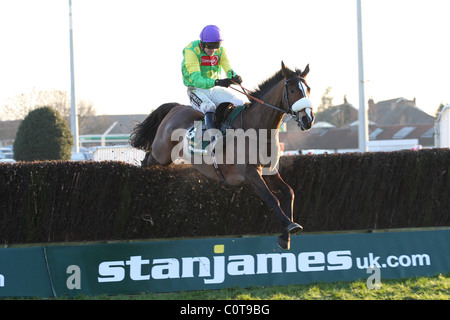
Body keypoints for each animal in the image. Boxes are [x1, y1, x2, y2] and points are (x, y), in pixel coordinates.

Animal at [128, 61, 314, 249]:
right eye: (292, 90)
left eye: (308, 89)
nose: (308, 119)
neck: (257, 129)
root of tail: (176, 108)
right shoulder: (251, 173)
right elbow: (272, 199)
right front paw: (290, 225)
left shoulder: (269, 172)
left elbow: (289, 192)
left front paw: (285, 236)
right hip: (163, 153)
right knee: (149, 157)